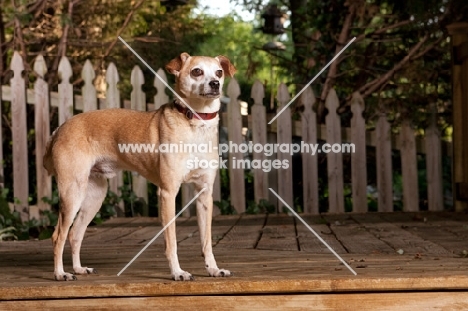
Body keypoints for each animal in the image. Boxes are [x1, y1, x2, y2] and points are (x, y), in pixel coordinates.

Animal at [44, 53, 236, 282]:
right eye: (196, 71)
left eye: (219, 72)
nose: (215, 84)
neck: (195, 124)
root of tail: (59, 129)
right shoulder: (168, 193)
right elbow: (171, 242)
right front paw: (177, 272)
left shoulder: (204, 195)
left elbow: (206, 242)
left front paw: (213, 269)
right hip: (72, 194)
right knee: (58, 236)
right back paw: (60, 273)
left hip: (93, 198)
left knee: (75, 234)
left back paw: (79, 269)